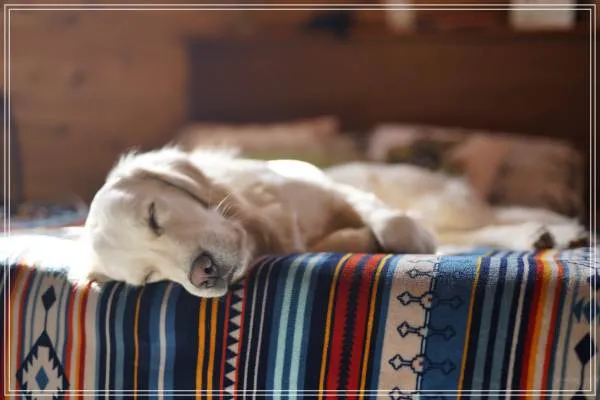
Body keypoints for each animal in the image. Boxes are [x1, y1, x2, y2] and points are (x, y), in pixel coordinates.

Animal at [83, 147, 436, 297]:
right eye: (148, 277)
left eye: (153, 216)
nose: (202, 274)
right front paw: (360, 238)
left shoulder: (333, 192)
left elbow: (392, 223)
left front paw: (420, 241)